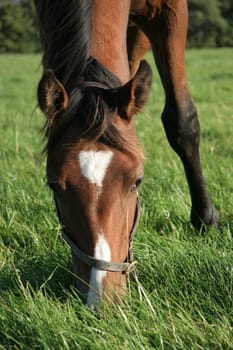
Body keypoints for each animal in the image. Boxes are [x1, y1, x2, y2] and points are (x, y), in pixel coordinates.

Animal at [34, 0, 218, 306]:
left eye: (137, 182)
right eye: (53, 186)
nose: (102, 295)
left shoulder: (171, 11)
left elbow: (182, 121)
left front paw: (205, 220)